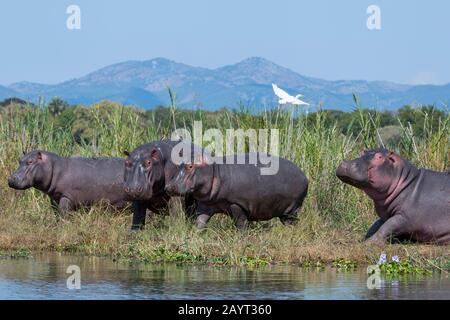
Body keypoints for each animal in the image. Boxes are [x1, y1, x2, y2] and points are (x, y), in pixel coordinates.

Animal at [165, 153, 310, 230]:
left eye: (190, 166)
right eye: (179, 165)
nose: (168, 187)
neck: (215, 171)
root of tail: (304, 175)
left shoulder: (236, 204)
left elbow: (240, 223)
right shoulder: (206, 205)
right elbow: (200, 221)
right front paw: (196, 234)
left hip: (293, 208)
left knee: (292, 221)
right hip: (286, 211)